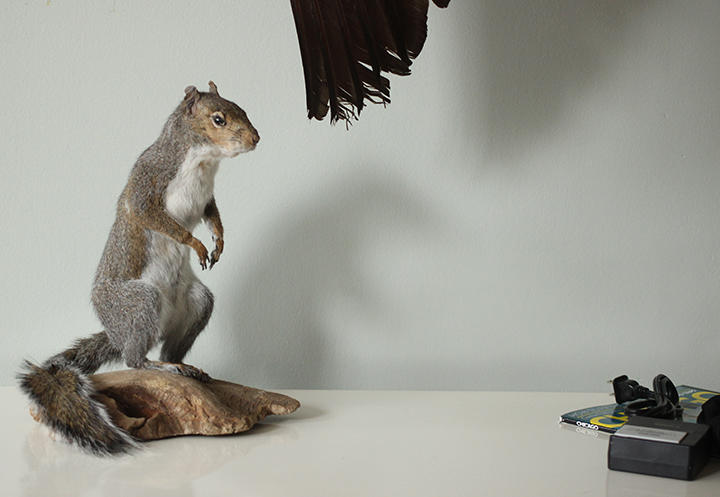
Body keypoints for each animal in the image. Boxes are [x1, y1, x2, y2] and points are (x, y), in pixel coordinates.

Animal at [18, 81, 259, 455]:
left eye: (242, 109)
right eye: (218, 119)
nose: (255, 138)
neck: (202, 161)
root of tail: (116, 332)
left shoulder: (205, 197)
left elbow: (212, 214)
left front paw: (218, 240)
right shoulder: (149, 180)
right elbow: (155, 217)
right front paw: (196, 244)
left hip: (196, 303)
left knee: (170, 347)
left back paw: (184, 367)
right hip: (138, 302)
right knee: (134, 359)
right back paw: (159, 366)